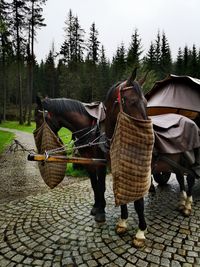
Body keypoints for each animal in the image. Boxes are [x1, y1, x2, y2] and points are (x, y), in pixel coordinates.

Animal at [35, 96, 108, 224]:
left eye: (38, 119)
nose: (38, 146)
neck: (91, 129)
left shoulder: (101, 163)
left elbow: (101, 186)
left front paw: (101, 211)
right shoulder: (89, 161)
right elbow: (94, 185)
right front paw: (96, 207)